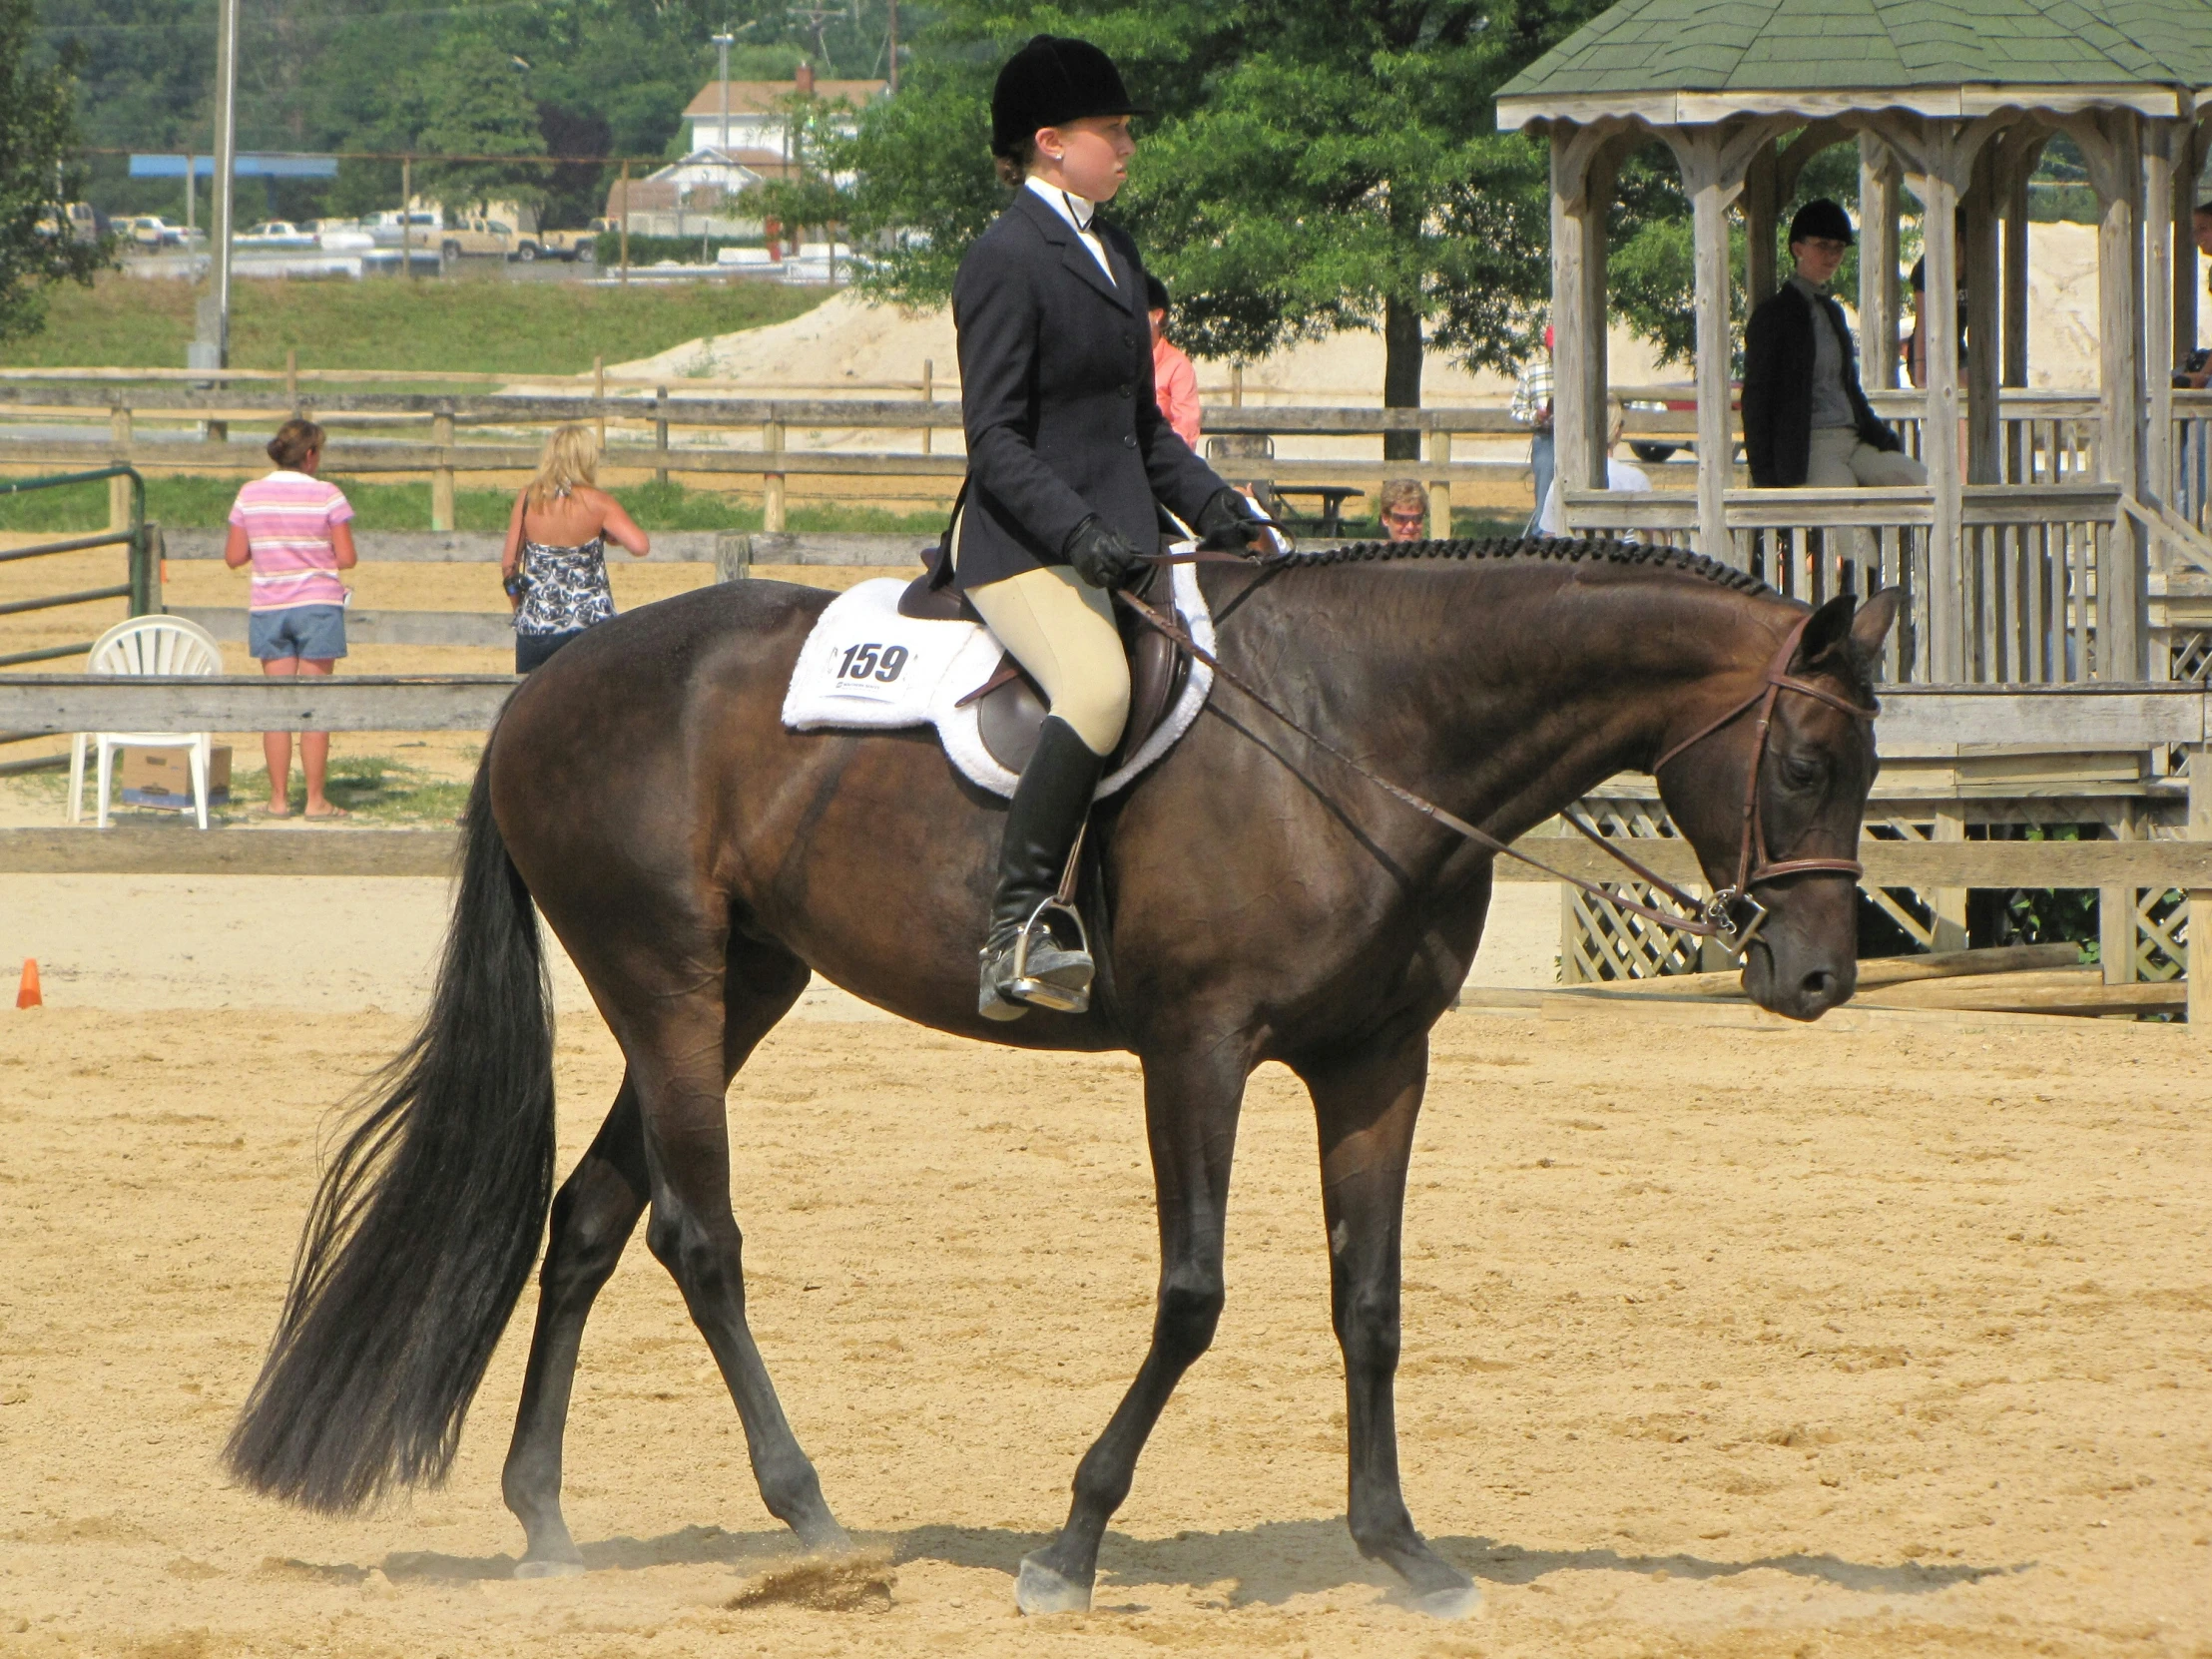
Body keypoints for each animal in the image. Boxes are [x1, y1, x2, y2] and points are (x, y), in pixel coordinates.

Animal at [238, 541, 1902, 1627]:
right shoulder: (1200, 1049)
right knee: (694, 1237)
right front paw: (1074, 1541)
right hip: (667, 984)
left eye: (1869, 769)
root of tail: (546, 686)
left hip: (745, 982)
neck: (1360, 726)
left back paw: (545, 1520)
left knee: (585, 1217)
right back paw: (814, 1512)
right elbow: (1195, 1296)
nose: (1817, 978)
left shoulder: (1379, 1059)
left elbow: (1371, 1302)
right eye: (1805, 763)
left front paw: (1402, 1549)